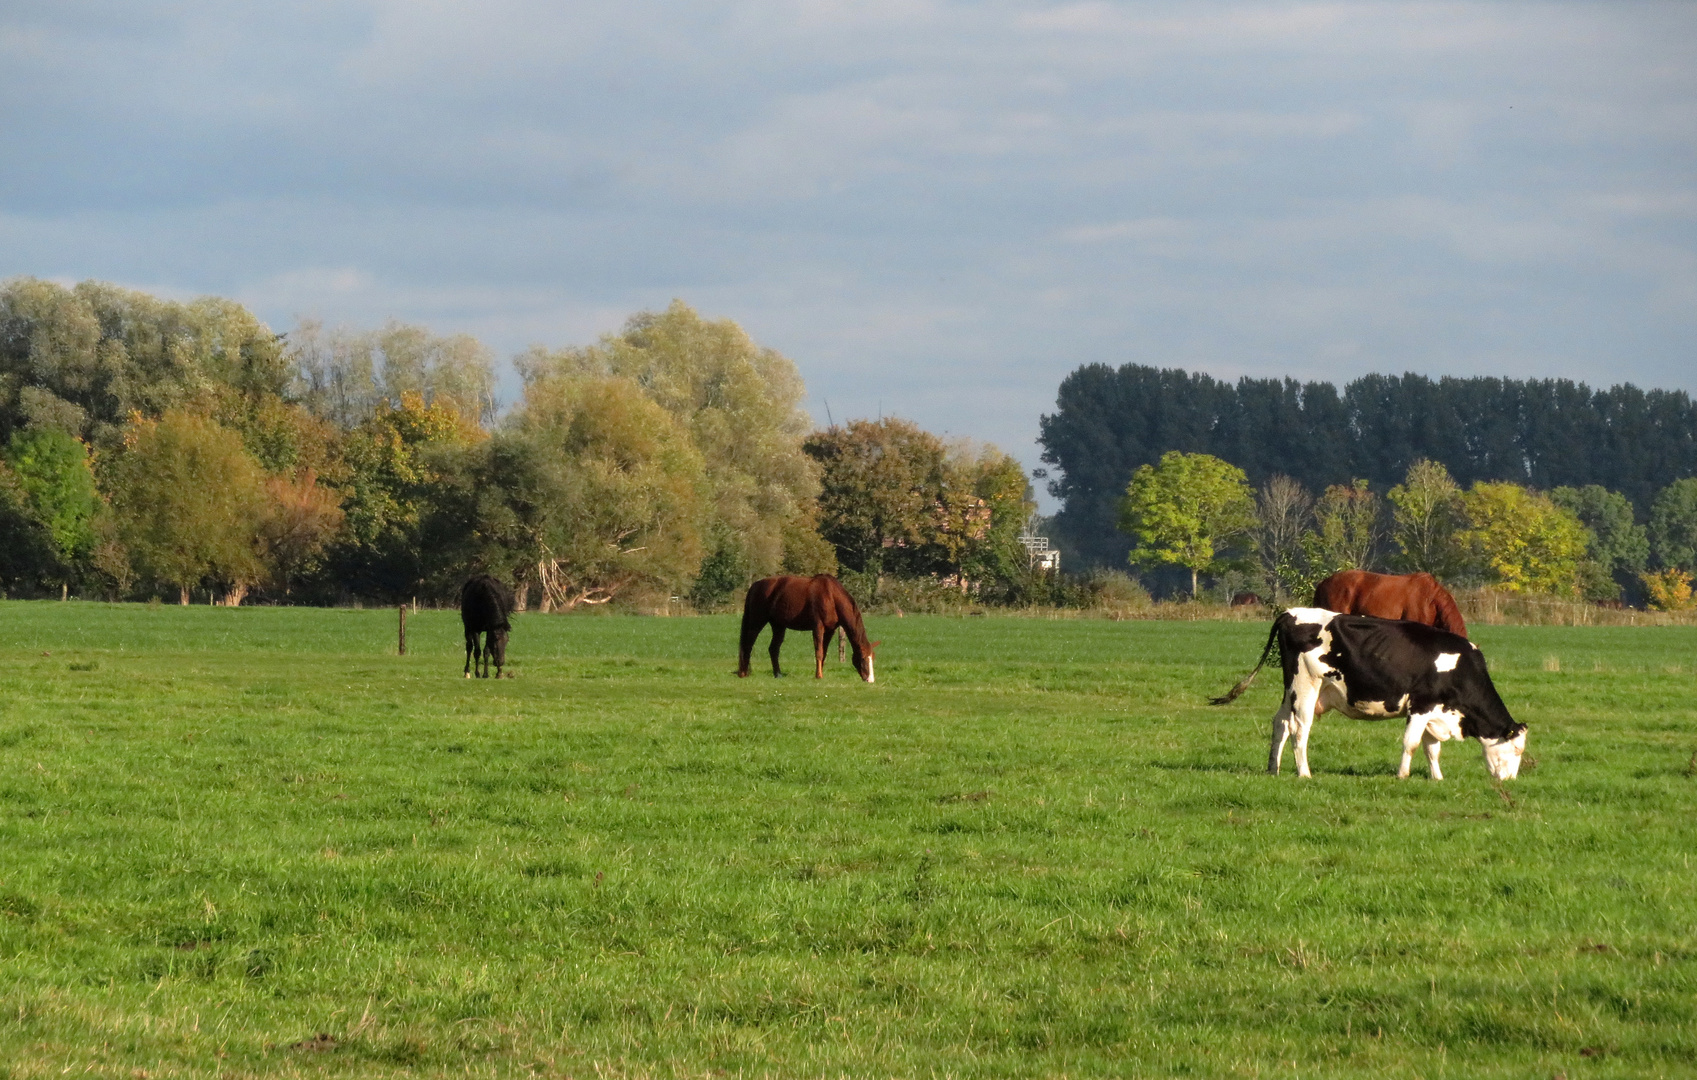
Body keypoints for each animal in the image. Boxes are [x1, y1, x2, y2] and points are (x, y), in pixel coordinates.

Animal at [739, 577, 882, 679]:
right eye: (863, 658)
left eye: (873, 658)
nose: (870, 679)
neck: (831, 596)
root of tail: (754, 586)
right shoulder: (818, 627)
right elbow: (818, 652)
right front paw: (818, 675)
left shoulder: (830, 630)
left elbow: (824, 652)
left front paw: (820, 673)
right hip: (757, 622)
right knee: (748, 645)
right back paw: (744, 673)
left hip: (778, 626)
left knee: (773, 649)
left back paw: (778, 674)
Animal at [1215, 607, 1534, 777]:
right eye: (1517, 750)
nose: (1508, 781)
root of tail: (1291, 612)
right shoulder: (1421, 705)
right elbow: (1412, 743)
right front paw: (1403, 775)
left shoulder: (1436, 711)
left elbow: (1432, 748)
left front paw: (1437, 778)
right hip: (1306, 686)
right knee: (1299, 729)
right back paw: (1304, 773)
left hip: (1290, 690)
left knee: (1280, 723)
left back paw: (1273, 768)